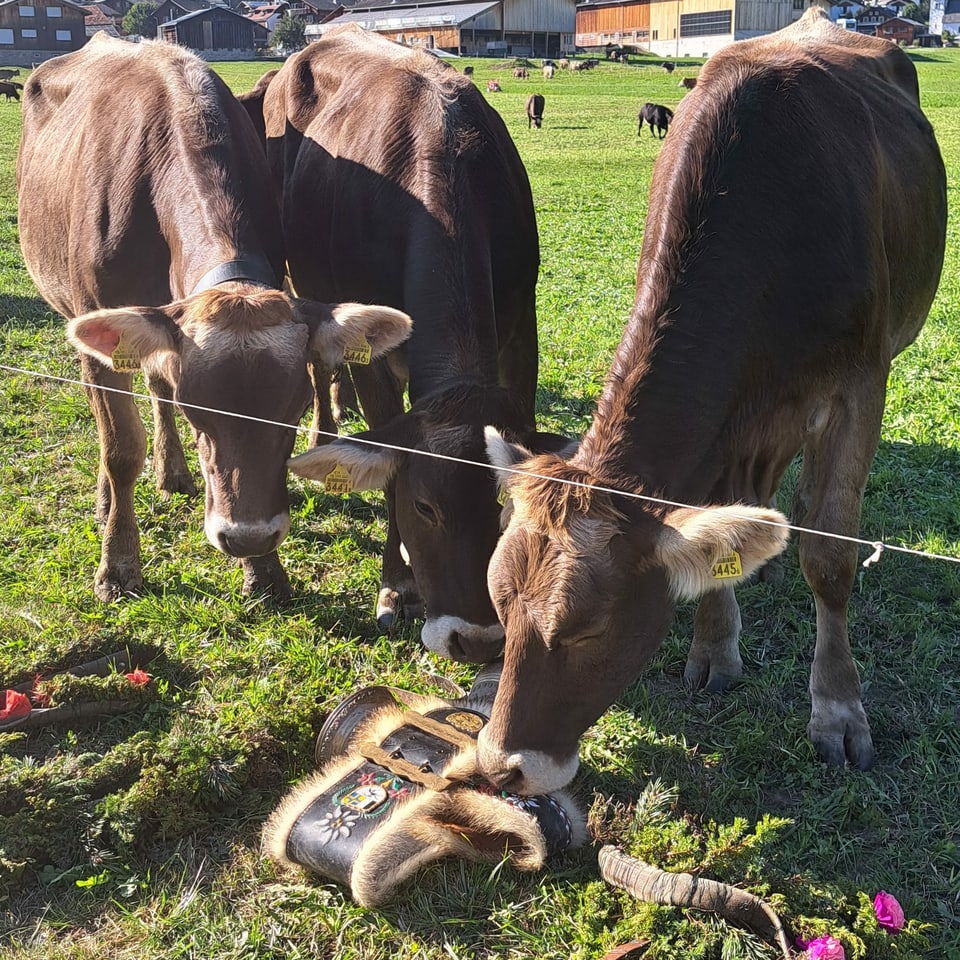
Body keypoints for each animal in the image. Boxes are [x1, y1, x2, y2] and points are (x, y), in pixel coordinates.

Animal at [16, 33, 410, 604]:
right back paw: (109, 499)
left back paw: (173, 471)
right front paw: (118, 564)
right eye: (197, 410)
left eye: (295, 408)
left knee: (155, 383)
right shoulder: (100, 323)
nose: (246, 537)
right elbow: (121, 449)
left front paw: (264, 572)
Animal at [240, 26, 556, 664]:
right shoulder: (371, 348)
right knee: (318, 362)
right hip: (302, 274)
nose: (476, 641)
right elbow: (385, 455)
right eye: (424, 506)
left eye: (506, 510)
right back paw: (324, 431)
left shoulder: (520, 323)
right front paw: (395, 587)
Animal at [472, 5, 944, 796]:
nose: (502, 767)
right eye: (500, 607)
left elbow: (829, 554)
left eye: (587, 630)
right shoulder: (725, 423)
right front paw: (715, 647)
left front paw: (838, 711)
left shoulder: (858, 387)